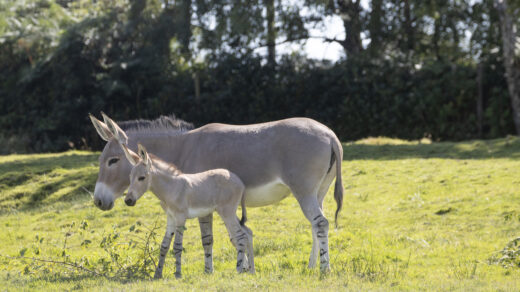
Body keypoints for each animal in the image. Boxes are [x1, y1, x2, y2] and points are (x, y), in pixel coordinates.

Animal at [120, 144, 254, 278]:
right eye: (130, 177)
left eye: (142, 178)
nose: (128, 201)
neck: (171, 188)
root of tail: (239, 181)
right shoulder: (170, 217)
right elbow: (164, 245)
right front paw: (157, 274)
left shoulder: (180, 217)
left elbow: (177, 246)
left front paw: (178, 274)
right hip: (230, 212)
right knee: (248, 233)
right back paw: (252, 270)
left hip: (227, 212)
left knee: (240, 237)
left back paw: (239, 269)